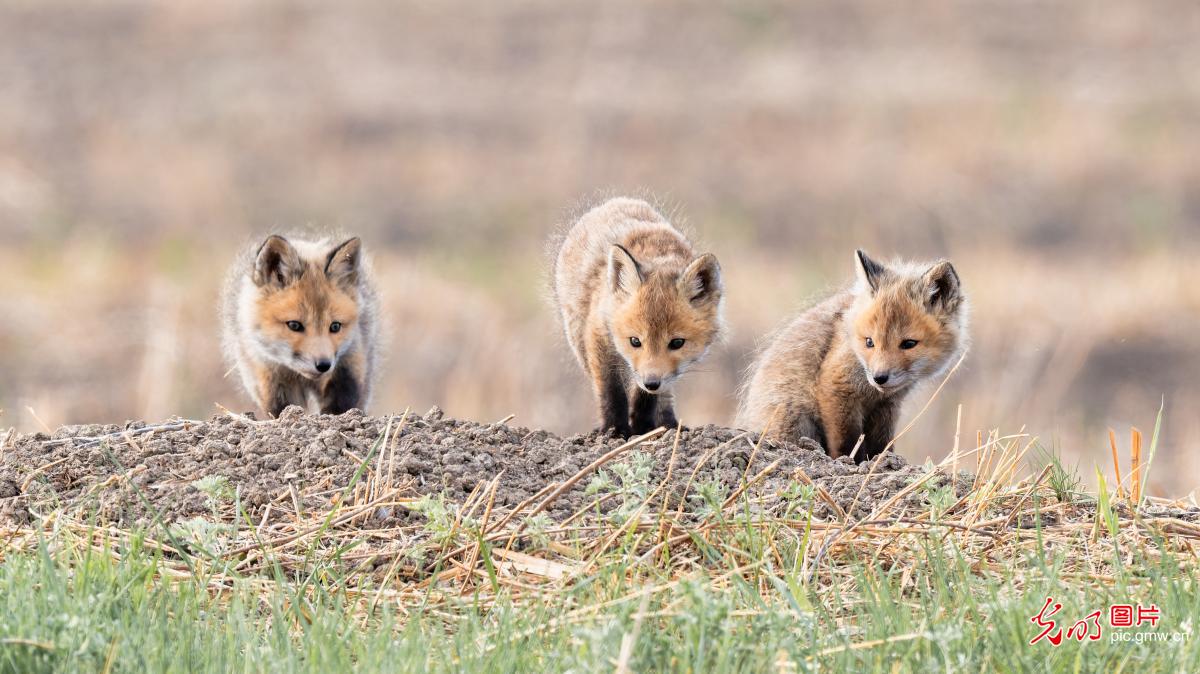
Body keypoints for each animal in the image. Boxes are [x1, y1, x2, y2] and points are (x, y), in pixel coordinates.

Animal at [221, 233, 380, 417]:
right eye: (294, 325)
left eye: (335, 327)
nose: (324, 365)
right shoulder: (270, 377)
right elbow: (281, 410)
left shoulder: (349, 366)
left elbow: (341, 405)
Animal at [553, 197, 725, 438]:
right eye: (635, 341)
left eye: (677, 343)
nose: (651, 382)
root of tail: (617, 201)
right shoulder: (599, 336)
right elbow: (611, 390)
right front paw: (615, 429)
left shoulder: (654, 373)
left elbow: (646, 396)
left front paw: (643, 426)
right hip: (578, 338)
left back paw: (667, 423)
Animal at [736, 250, 968, 462]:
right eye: (869, 342)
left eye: (909, 344)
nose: (879, 377)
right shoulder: (836, 386)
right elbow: (847, 442)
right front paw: (851, 464)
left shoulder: (887, 406)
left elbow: (882, 444)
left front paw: (882, 463)